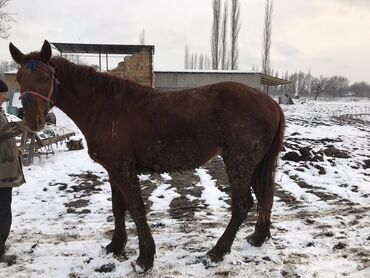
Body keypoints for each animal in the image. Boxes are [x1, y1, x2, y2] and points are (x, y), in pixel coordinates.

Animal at [9, 40, 286, 272]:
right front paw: (116, 245)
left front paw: (145, 258)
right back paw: (257, 238)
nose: (33, 121)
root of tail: (272, 103)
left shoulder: (123, 168)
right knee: (265, 197)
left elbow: (135, 208)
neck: (104, 107)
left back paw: (216, 252)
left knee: (242, 204)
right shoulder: (113, 170)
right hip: (254, 164)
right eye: (20, 77)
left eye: (46, 76)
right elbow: (118, 208)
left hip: (238, 162)